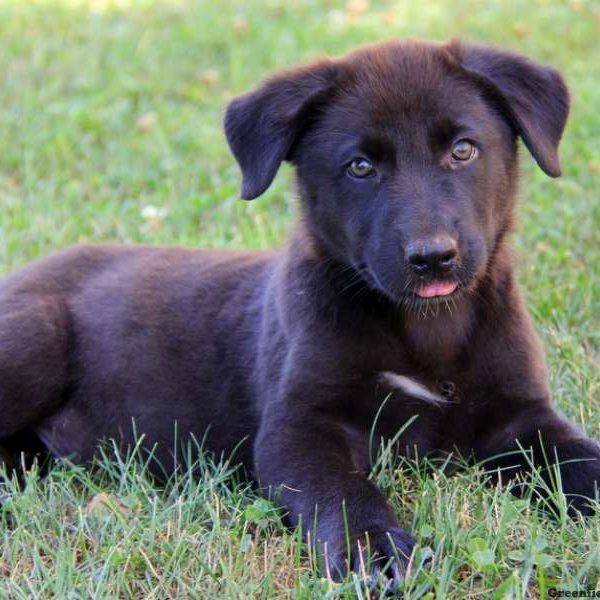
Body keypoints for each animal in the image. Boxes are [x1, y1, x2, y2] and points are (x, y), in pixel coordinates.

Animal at [1, 38, 600, 580]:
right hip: (37, 339)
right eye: (360, 167)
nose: (432, 257)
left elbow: (581, 459)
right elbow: (343, 492)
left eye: (463, 150)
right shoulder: (299, 429)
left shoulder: (521, 417)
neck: (425, 329)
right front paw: (373, 549)